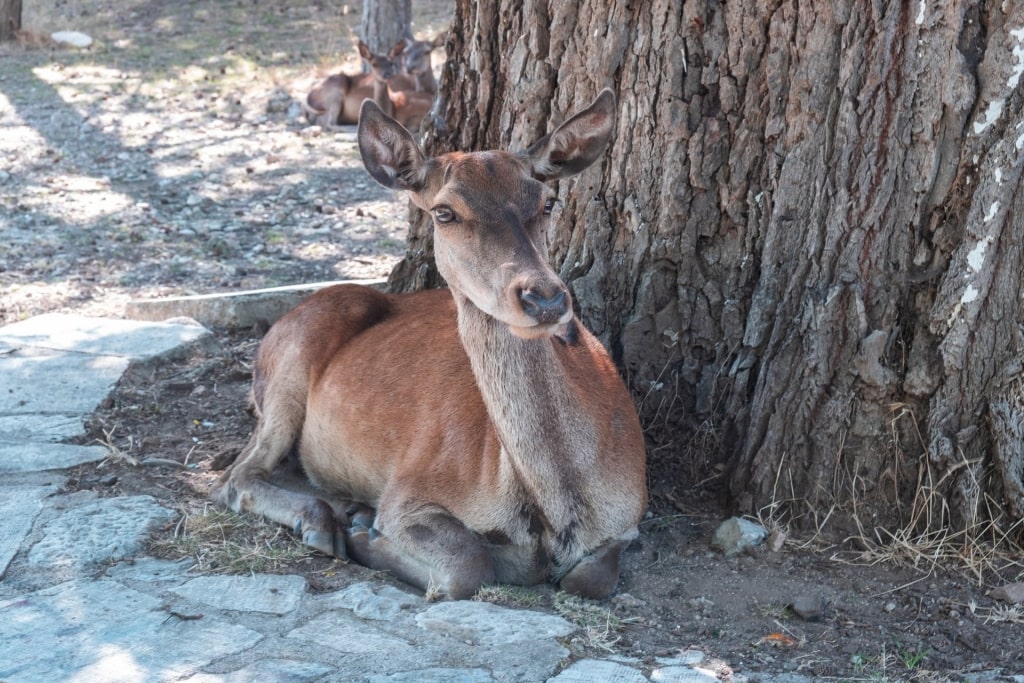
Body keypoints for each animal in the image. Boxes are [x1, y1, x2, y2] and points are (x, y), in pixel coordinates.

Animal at [212, 89, 647, 598]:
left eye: (547, 203)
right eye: (445, 212)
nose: (544, 298)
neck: (558, 514)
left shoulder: (632, 513)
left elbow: (592, 577)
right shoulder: (411, 489)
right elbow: (467, 565)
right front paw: (364, 534)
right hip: (289, 366)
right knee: (234, 476)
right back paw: (324, 520)